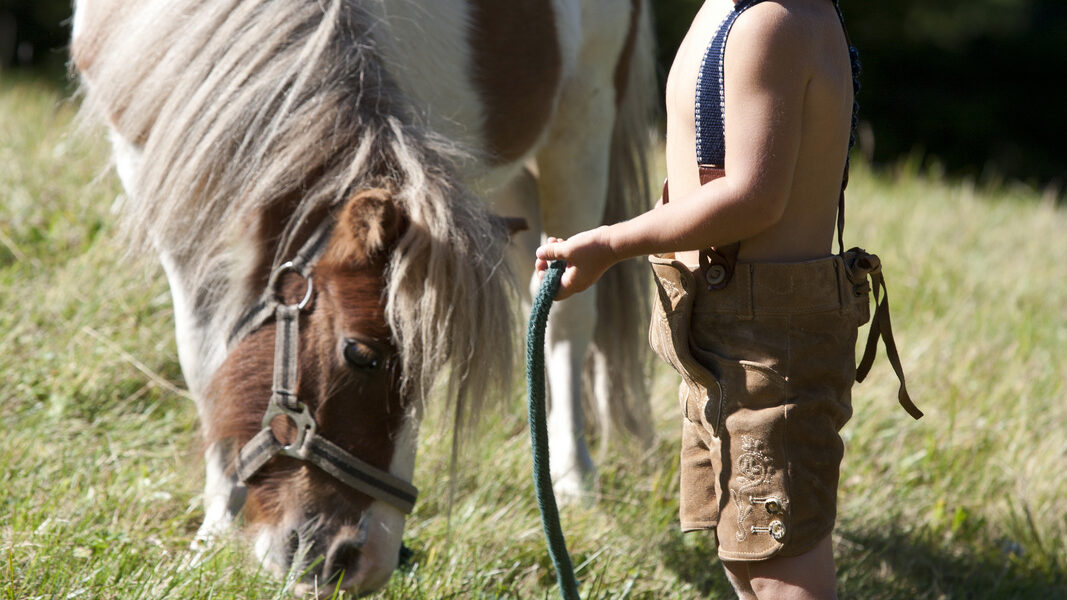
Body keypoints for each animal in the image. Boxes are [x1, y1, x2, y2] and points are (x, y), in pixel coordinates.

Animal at [72, 0, 655, 594]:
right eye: (361, 354)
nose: (362, 562)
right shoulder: (168, 190)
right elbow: (205, 359)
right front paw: (213, 534)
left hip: (583, 122)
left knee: (565, 318)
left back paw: (574, 478)